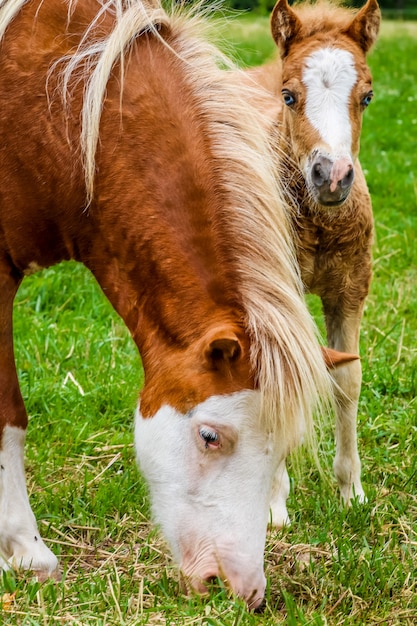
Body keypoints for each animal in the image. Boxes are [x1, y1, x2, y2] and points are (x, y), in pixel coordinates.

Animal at [244, 0, 380, 528]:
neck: (320, 226)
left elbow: (347, 381)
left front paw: (351, 491)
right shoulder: (278, 296)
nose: (332, 176)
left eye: (367, 97)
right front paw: (273, 507)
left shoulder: (350, 291)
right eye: (288, 96)